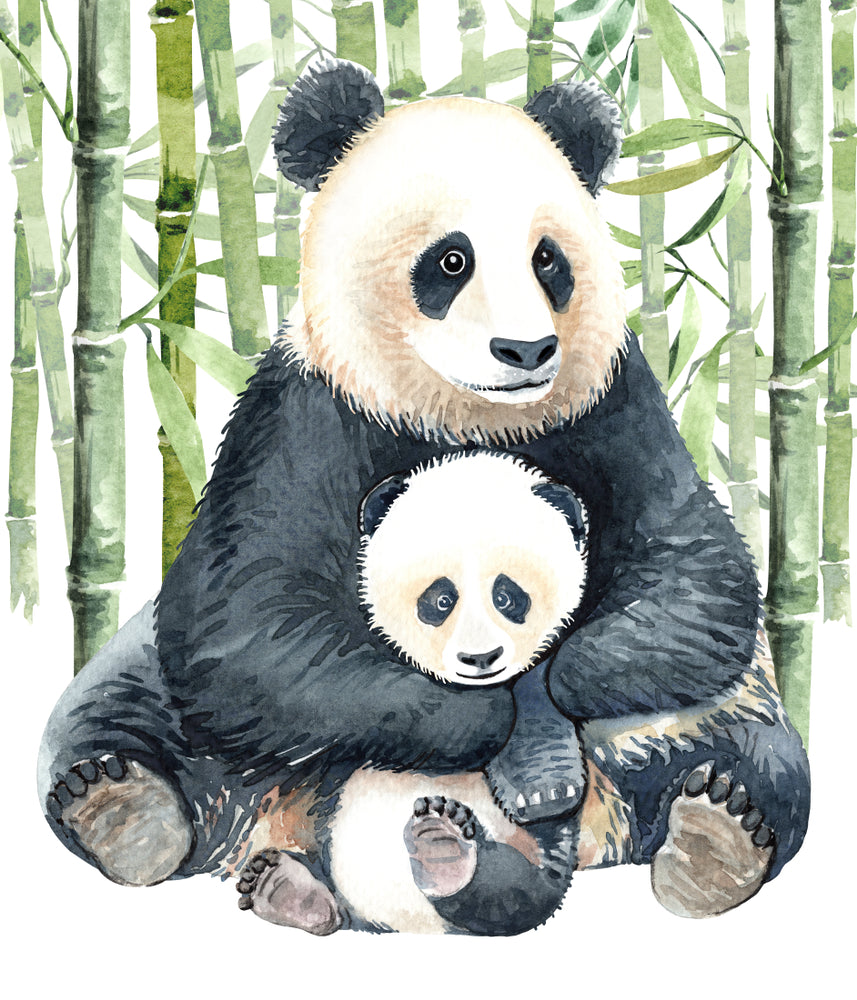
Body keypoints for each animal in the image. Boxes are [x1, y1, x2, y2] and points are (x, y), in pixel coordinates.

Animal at [230, 450, 591, 935]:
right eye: (440, 600)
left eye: (507, 597)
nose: (482, 658)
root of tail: (405, 925)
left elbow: (541, 684)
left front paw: (545, 784)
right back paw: (287, 888)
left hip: (536, 856)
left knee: (511, 893)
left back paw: (445, 851)